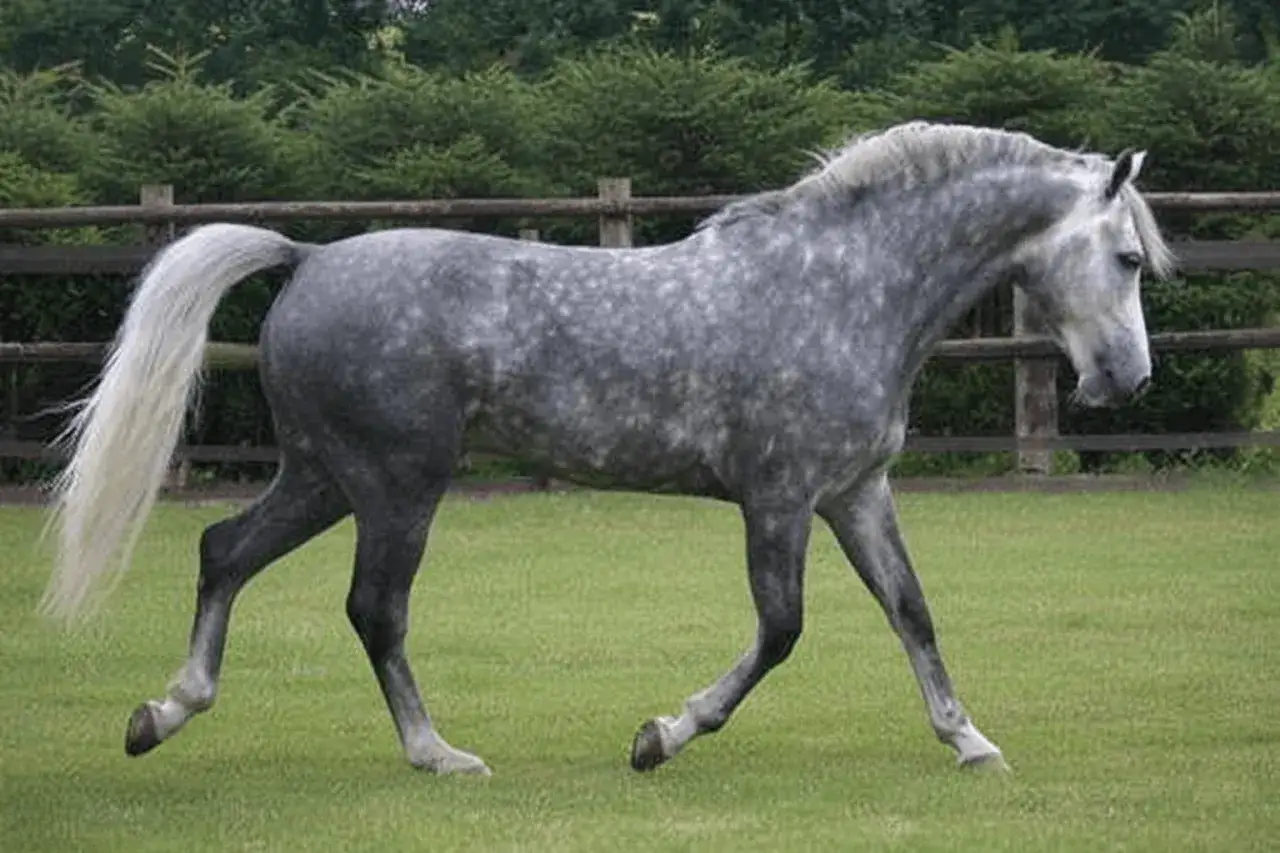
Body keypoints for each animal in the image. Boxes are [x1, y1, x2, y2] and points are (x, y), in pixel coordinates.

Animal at [40, 120, 1175, 777]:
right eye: (1126, 256)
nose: (1128, 381)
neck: (843, 287)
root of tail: (309, 255)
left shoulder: (855, 492)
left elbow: (911, 610)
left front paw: (967, 738)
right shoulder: (777, 497)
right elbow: (780, 630)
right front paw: (661, 735)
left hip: (324, 477)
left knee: (223, 551)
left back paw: (163, 714)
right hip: (397, 486)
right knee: (373, 609)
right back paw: (435, 753)